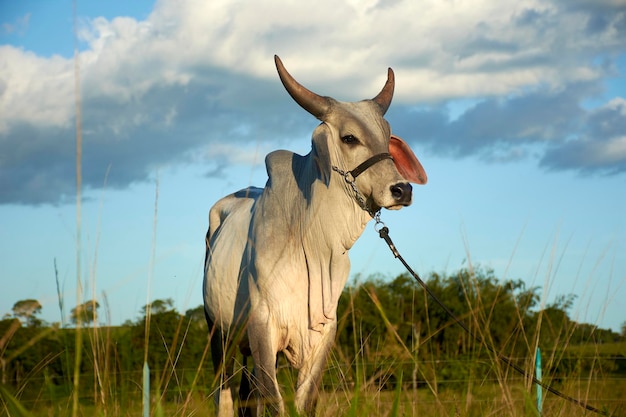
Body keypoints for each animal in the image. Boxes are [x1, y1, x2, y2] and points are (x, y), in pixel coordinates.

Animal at [202, 56, 426, 416]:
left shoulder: (322, 335)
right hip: (217, 333)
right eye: (349, 138)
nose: (402, 189)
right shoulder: (262, 328)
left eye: (387, 136)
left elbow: (303, 402)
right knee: (224, 394)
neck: (313, 243)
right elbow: (276, 403)